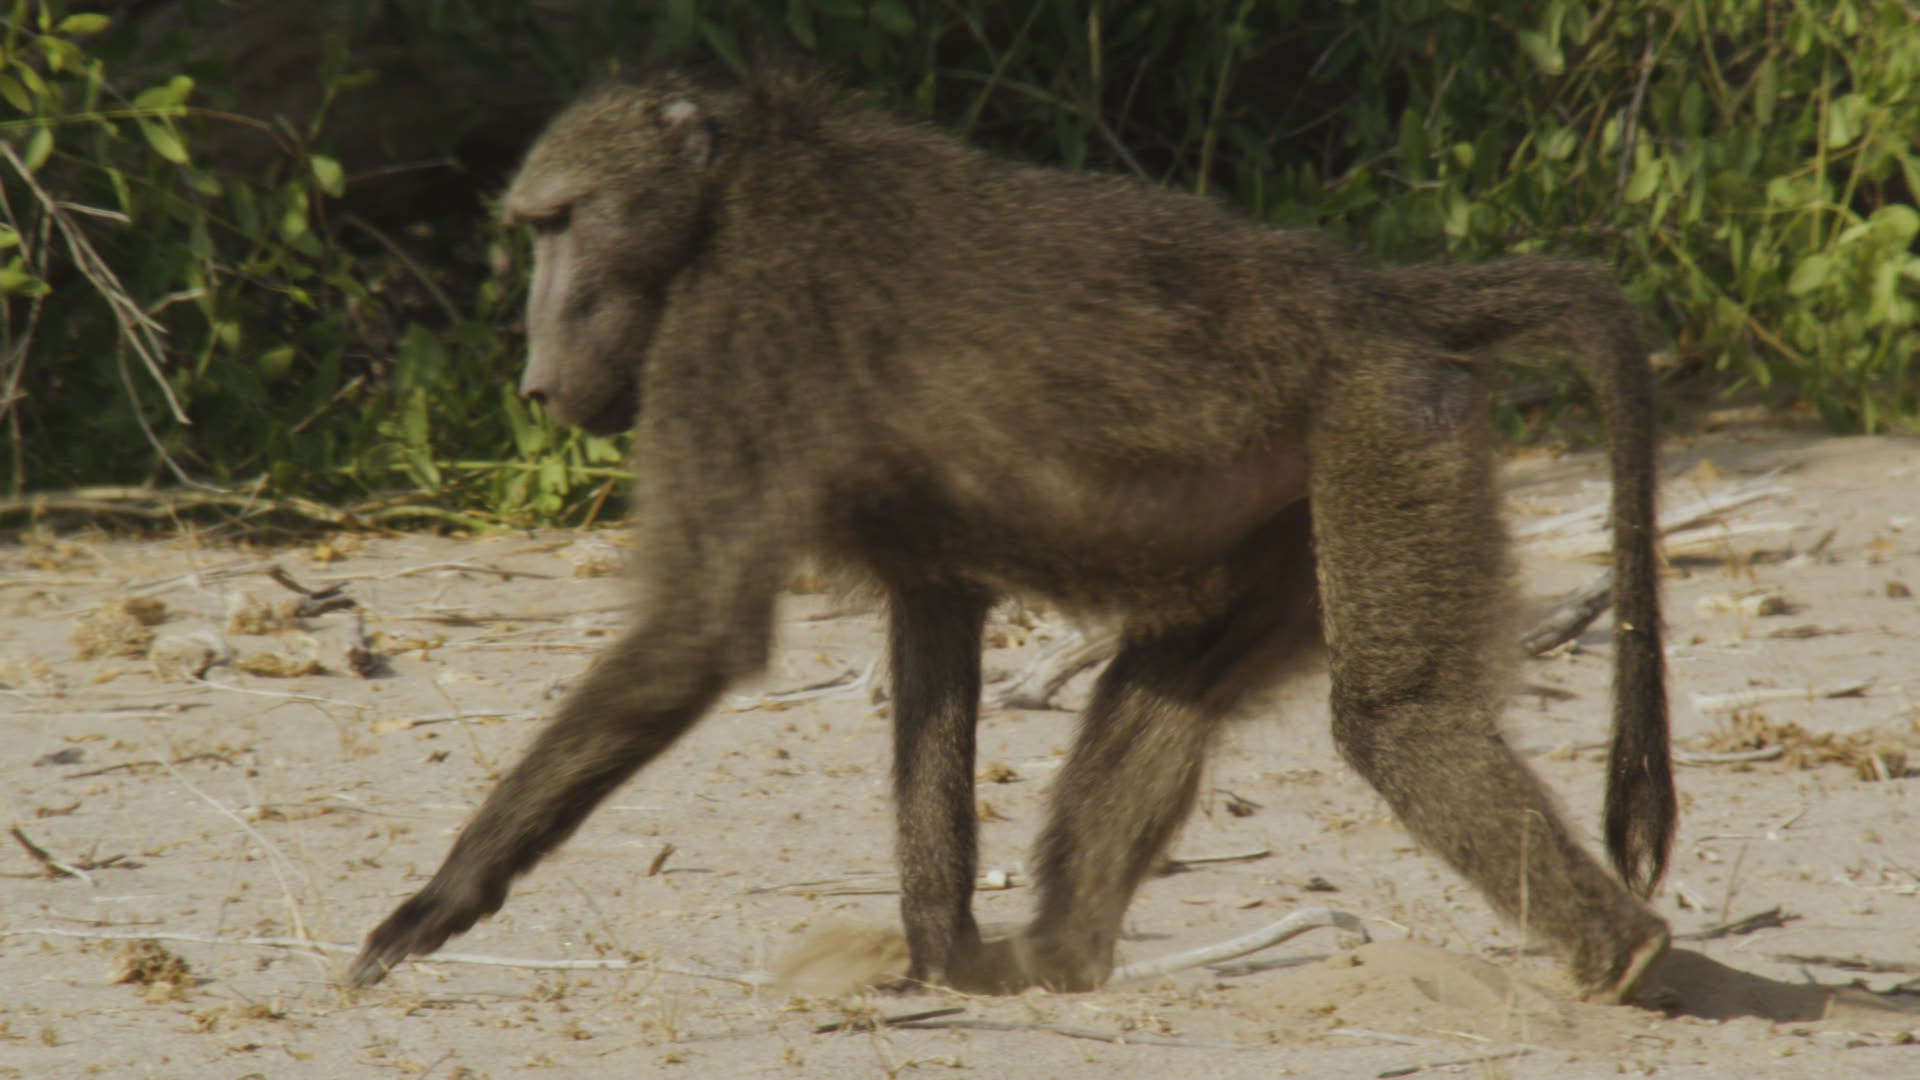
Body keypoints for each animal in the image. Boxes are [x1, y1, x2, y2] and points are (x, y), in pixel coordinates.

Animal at [349, 71, 1674, 1003]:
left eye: (558, 223)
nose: (535, 379)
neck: (728, 199)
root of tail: (1375, 296)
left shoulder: (730, 327)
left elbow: (698, 632)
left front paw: (439, 899)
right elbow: (934, 630)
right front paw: (944, 959)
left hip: (1387, 426)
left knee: (1399, 722)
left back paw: (1630, 964)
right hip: (1311, 490)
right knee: (1171, 686)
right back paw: (1061, 960)